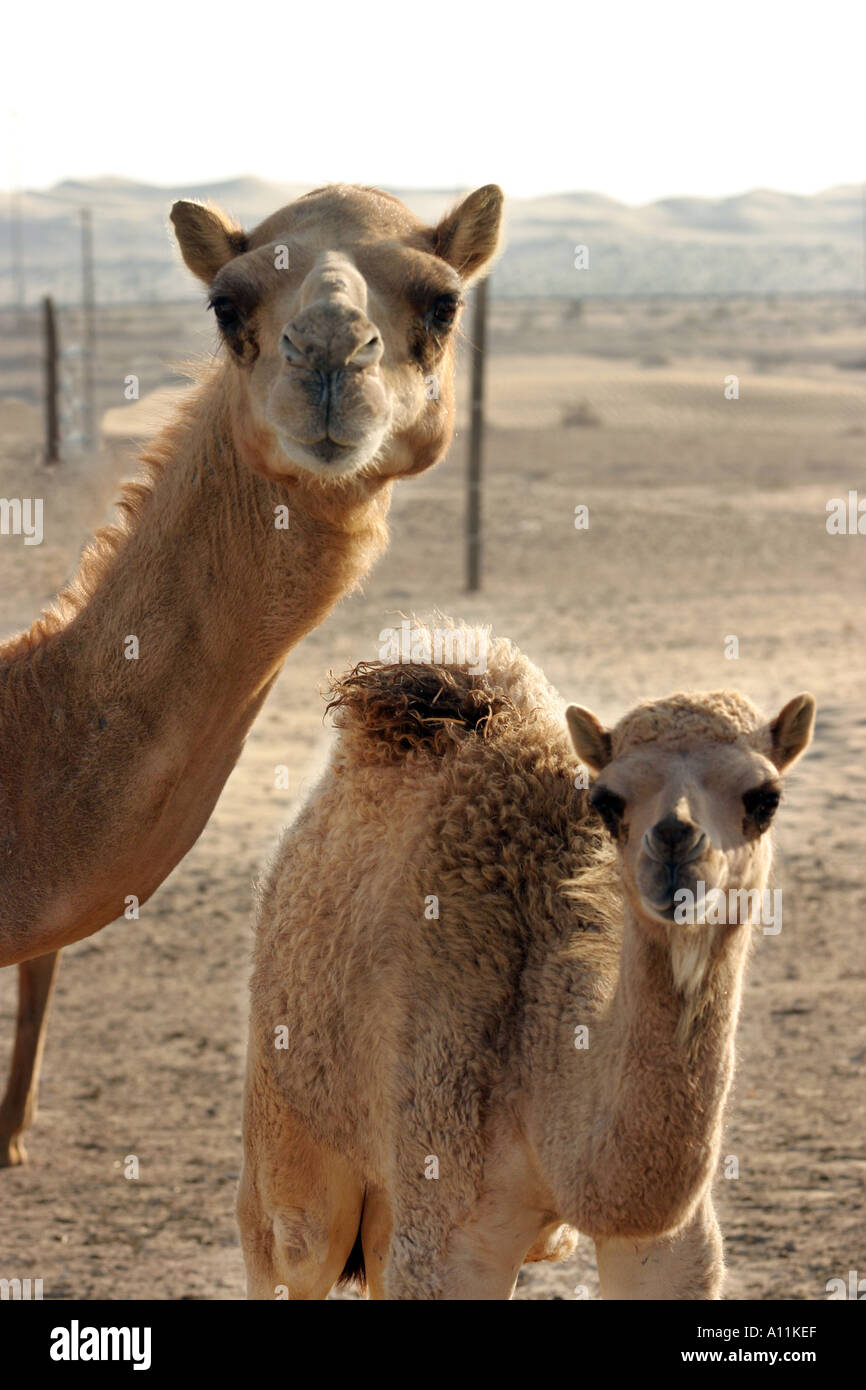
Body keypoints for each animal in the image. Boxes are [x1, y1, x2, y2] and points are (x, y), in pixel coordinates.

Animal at [239, 624, 815, 1299]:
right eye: (610, 801)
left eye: (764, 798)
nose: (676, 845)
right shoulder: (449, 1227)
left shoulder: (671, 1246)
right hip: (291, 1137)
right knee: (293, 1246)